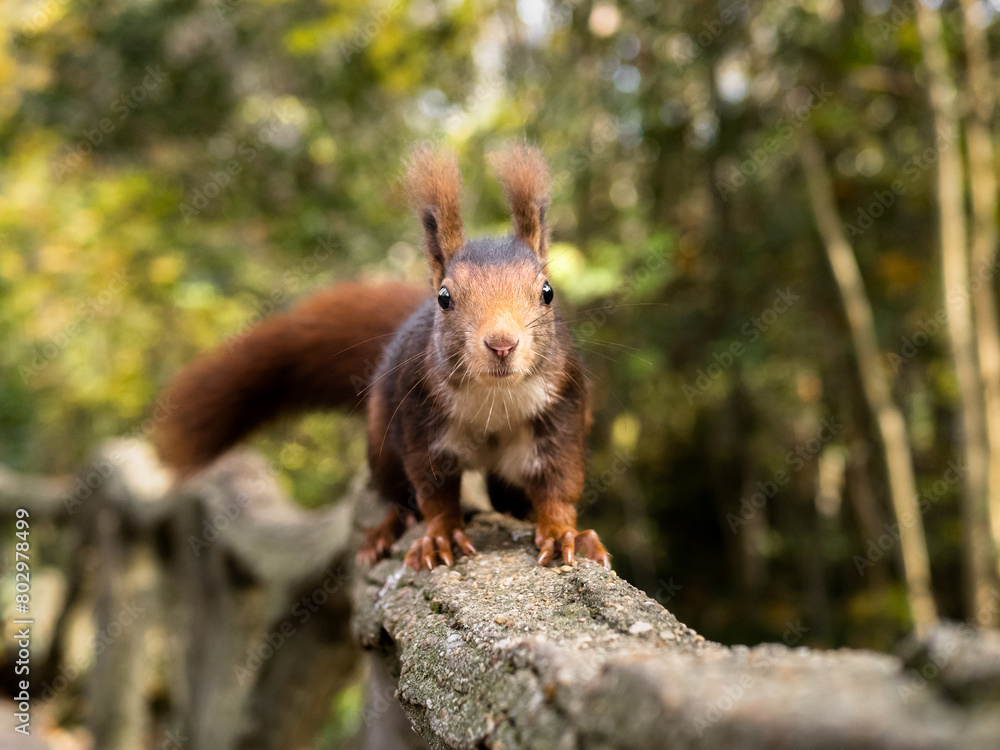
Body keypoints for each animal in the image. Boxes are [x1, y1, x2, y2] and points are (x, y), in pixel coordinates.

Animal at [154, 142, 610, 571]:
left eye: (547, 292)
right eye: (445, 298)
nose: (501, 344)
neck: (494, 399)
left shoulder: (561, 407)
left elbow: (558, 482)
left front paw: (563, 533)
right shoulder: (421, 414)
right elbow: (433, 490)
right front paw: (440, 536)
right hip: (382, 443)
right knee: (396, 495)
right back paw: (386, 530)